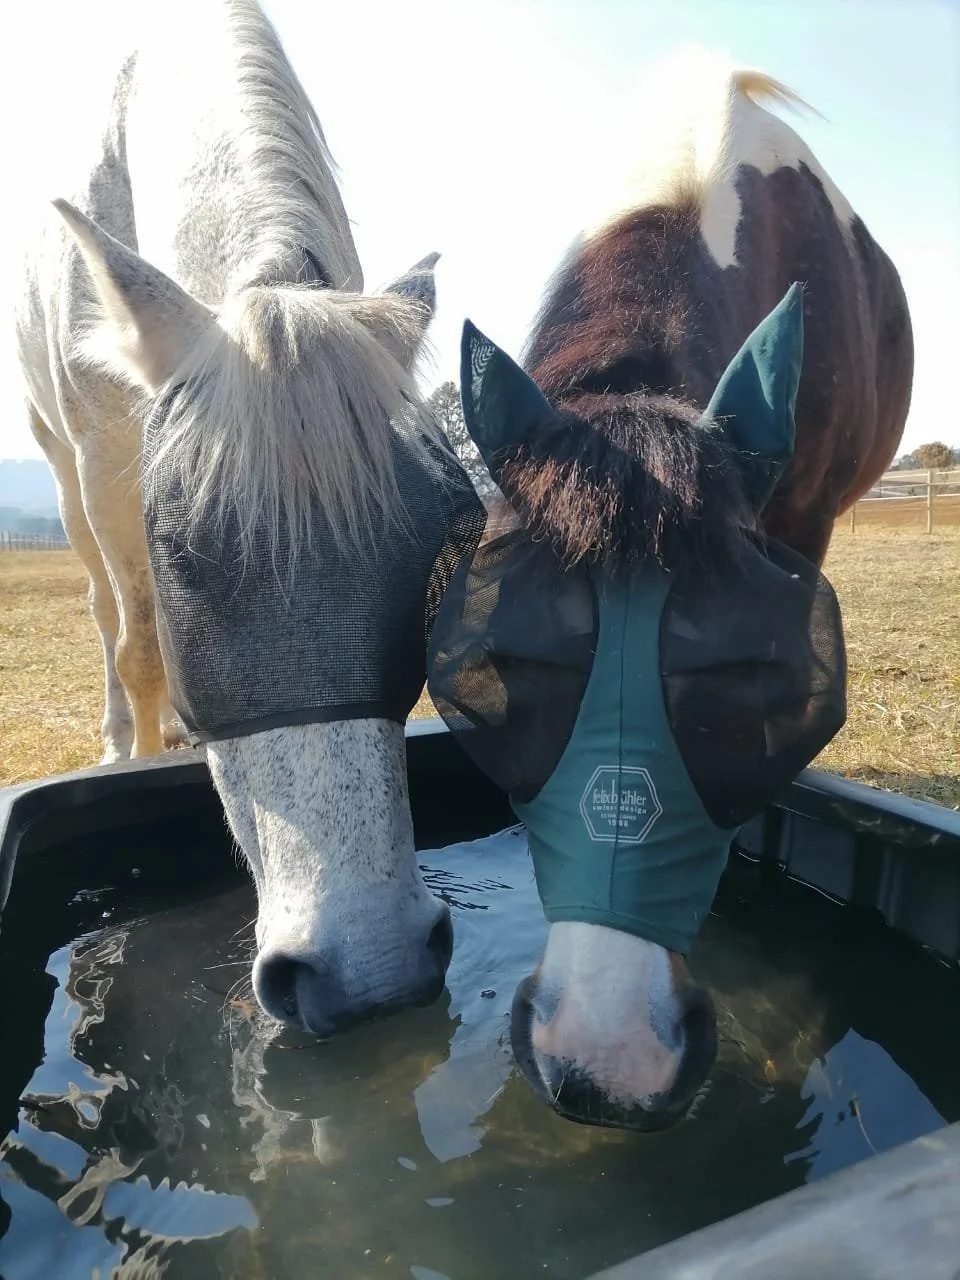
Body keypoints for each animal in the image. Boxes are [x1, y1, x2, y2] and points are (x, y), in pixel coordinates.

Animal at [14, 0, 483, 1034]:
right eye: (186, 558)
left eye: (427, 555)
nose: (373, 968)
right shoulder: (107, 466)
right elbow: (142, 646)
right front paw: (140, 751)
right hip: (67, 473)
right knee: (108, 616)